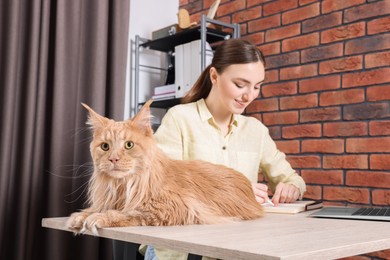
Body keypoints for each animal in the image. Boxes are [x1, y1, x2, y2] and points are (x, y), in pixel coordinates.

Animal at [67, 99, 264, 234]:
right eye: (105, 146)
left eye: (129, 145)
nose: (113, 159)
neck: (124, 184)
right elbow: (97, 208)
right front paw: (81, 215)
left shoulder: (173, 208)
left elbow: (127, 213)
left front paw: (98, 217)